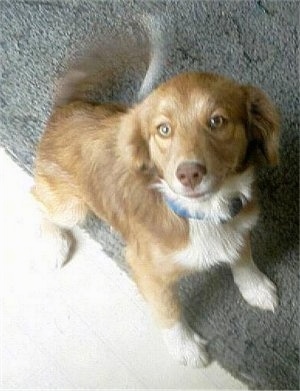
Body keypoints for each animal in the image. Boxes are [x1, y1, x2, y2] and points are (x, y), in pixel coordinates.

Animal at [31, 72, 280, 370]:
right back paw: (54, 244)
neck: (201, 213)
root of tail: (65, 108)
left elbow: (243, 258)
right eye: (163, 129)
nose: (189, 174)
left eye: (217, 121)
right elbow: (168, 311)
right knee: (39, 202)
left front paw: (255, 288)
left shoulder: (238, 222)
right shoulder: (147, 271)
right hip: (72, 207)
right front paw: (185, 348)